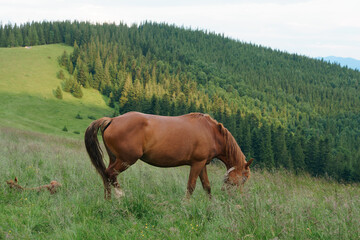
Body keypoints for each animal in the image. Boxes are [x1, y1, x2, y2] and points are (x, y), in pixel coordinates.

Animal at [84, 111, 253, 200]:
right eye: (243, 179)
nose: (239, 198)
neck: (211, 132)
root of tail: (112, 120)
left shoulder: (202, 164)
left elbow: (207, 186)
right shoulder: (197, 163)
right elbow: (191, 186)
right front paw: (186, 205)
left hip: (115, 158)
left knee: (106, 175)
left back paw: (108, 199)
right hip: (126, 160)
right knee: (110, 174)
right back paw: (120, 196)